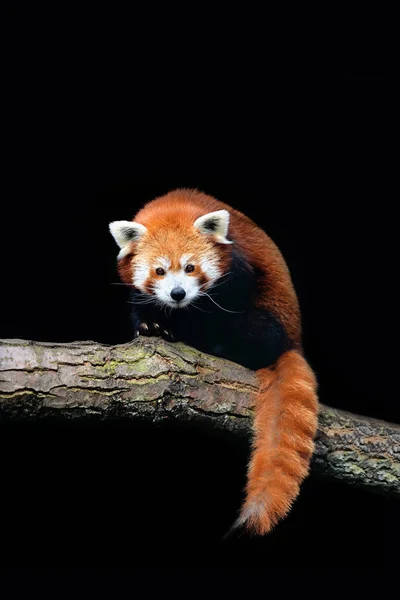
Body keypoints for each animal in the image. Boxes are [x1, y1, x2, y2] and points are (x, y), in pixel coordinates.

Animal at [108, 189, 318, 536]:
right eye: (159, 271)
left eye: (190, 267)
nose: (178, 294)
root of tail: (294, 342)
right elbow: (142, 306)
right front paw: (151, 325)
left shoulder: (238, 272)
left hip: (273, 321)